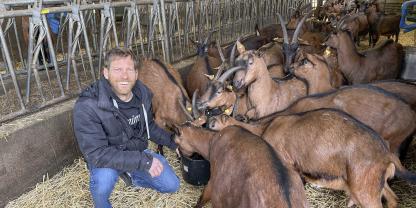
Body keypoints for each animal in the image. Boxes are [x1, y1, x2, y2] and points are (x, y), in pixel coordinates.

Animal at [208, 108, 416, 207]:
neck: (265, 128)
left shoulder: (288, 164)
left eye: (212, 124)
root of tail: (386, 153)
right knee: (393, 199)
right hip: (375, 183)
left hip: (364, 189)